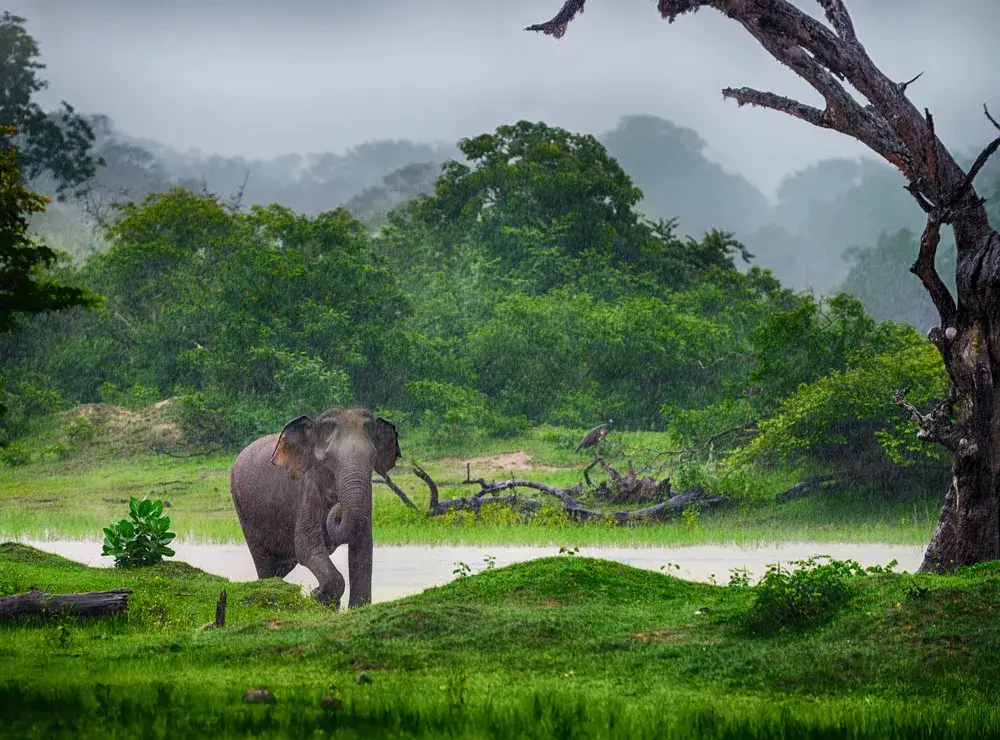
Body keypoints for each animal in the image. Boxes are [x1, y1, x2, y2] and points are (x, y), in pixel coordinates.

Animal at [229, 408, 400, 608]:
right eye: (328, 460)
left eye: (373, 457)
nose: (338, 507)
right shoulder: (308, 490)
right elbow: (306, 546)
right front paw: (315, 595)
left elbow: (363, 547)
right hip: (244, 511)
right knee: (266, 564)